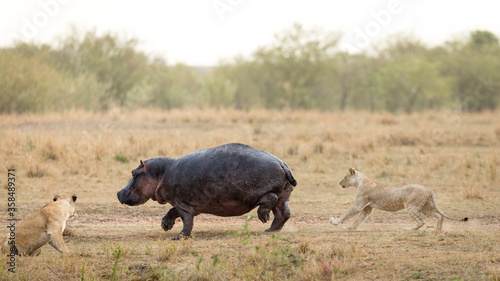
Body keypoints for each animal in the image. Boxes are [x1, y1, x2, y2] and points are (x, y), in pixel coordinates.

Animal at [117, 142, 296, 238]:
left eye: (133, 172)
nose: (118, 193)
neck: (161, 173)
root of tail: (283, 164)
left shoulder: (183, 204)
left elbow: (187, 221)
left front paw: (178, 237)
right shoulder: (182, 203)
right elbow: (171, 212)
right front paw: (165, 225)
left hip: (253, 194)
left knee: (269, 199)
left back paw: (263, 217)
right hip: (284, 194)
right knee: (283, 213)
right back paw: (270, 230)